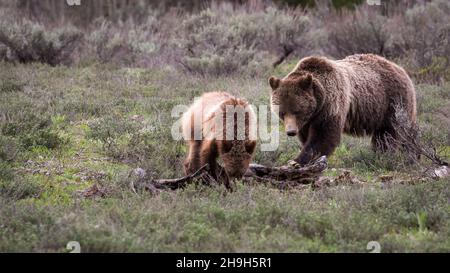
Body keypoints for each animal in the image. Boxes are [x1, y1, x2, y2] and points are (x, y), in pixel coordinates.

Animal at [268, 52, 416, 164]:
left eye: (297, 111)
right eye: (281, 112)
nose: (290, 131)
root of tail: (401, 69)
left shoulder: (331, 105)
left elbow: (323, 135)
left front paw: (297, 161)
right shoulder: (307, 120)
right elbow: (307, 137)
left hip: (391, 102)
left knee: (390, 132)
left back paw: (388, 155)